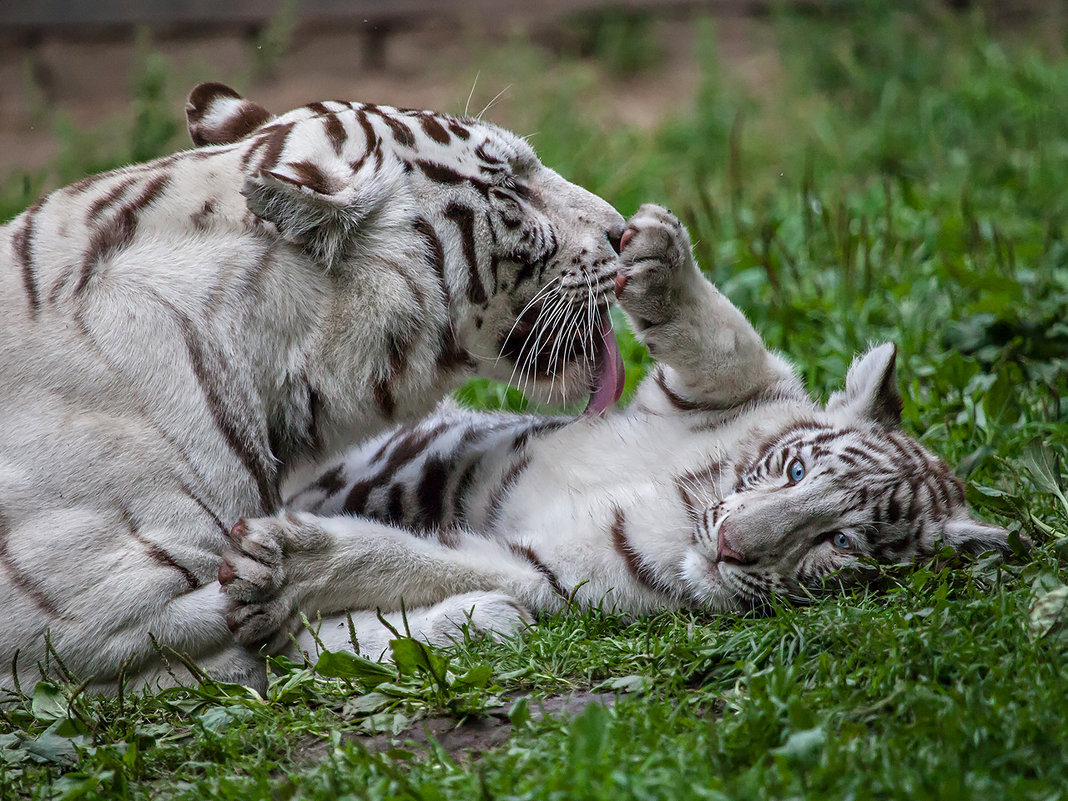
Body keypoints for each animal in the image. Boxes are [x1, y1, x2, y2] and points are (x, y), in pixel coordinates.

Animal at [223, 203, 1008, 662]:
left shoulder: (540, 570)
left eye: (840, 544)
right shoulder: (711, 392)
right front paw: (659, 257)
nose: (732, 544)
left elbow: (413, 560)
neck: (691, 501)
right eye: (794, 472)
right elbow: (728, 340)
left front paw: (287, 570)